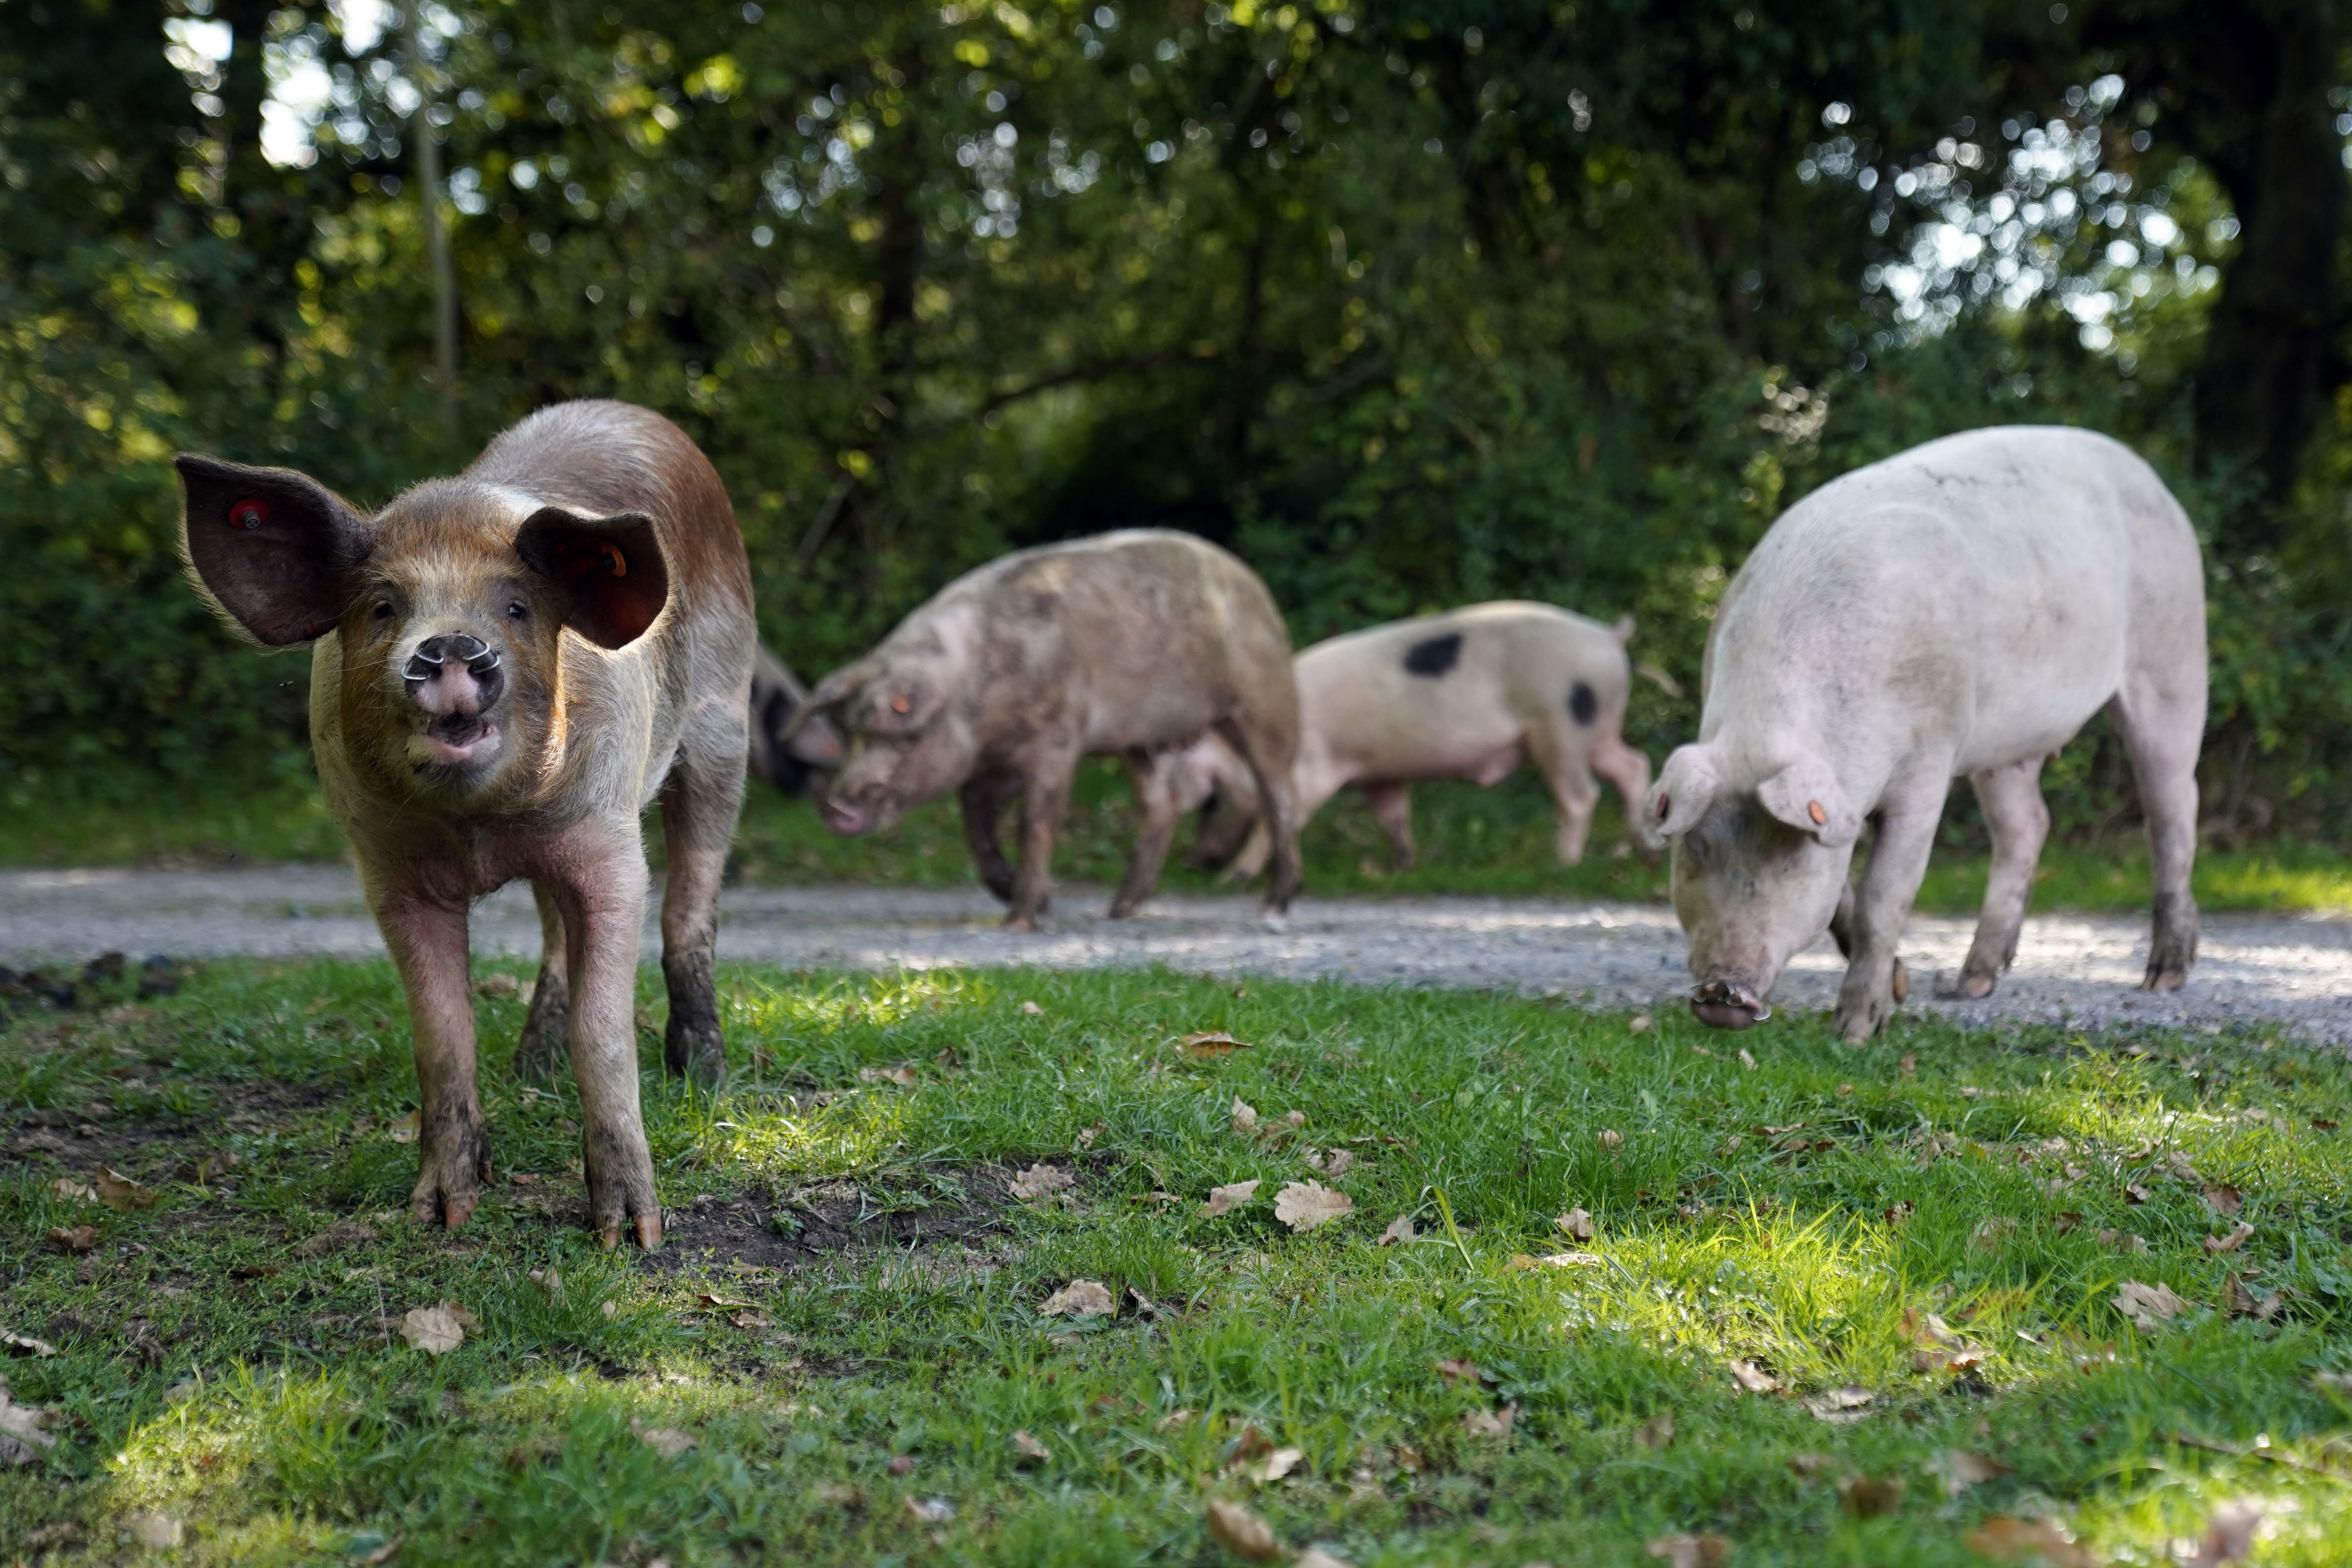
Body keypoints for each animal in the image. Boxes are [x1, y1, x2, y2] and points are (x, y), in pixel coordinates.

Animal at [179, 402, 757, 1250]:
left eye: (516, 608)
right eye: (383, 608)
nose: (451, 642)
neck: (479, 827)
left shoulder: (609, 843)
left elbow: (604, 1032)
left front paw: (631, 1236)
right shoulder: (388, 871)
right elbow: (442, 1037)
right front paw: (440, 1215)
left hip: (724, 727)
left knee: (692, 907)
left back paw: (703, 1078)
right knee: (554, 938)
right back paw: (532, 1070)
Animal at [790, 526, 1307, 926]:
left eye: (904, 735)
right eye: (850, 733)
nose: (836, 805)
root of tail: (1253, 583)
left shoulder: (1056, 737)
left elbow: (1035, 822)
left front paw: (1021, 921)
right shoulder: (989, 763)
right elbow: (976, 823)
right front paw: (1021, 898)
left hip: (1265, 699)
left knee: (1278, 793)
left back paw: (1274, 907)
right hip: (1142, 740)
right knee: (1164, 805)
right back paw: (1118, 910)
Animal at [1176, 597, 1655, 870]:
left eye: (1212, 799)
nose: (1197, 861)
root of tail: (1608, 635)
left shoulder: (1311, 770)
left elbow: (1282, 819)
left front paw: (1236, 877)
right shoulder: (1378, 772)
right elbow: (1393, 815)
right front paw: (1404, 865)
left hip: (1562, 724)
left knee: (1581, 794)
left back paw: (1560, 865)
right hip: (1598, 728)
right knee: (1633, 766)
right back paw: (1644, 851)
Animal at [1655, 423, 2201, 1048]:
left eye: (1790, 859)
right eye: (1695, 849)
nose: (1723, 992)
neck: (1765, 731)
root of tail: (2150, 477)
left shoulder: (1927, 763)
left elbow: (1882, 896)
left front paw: (1855, 1030)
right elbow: (1845, 891)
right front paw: (1900, 987)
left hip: (2171, 655)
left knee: (2172, 806)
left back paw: (2162, 977)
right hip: (2003, 744)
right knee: (2027, 825)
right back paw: (1969, 984)